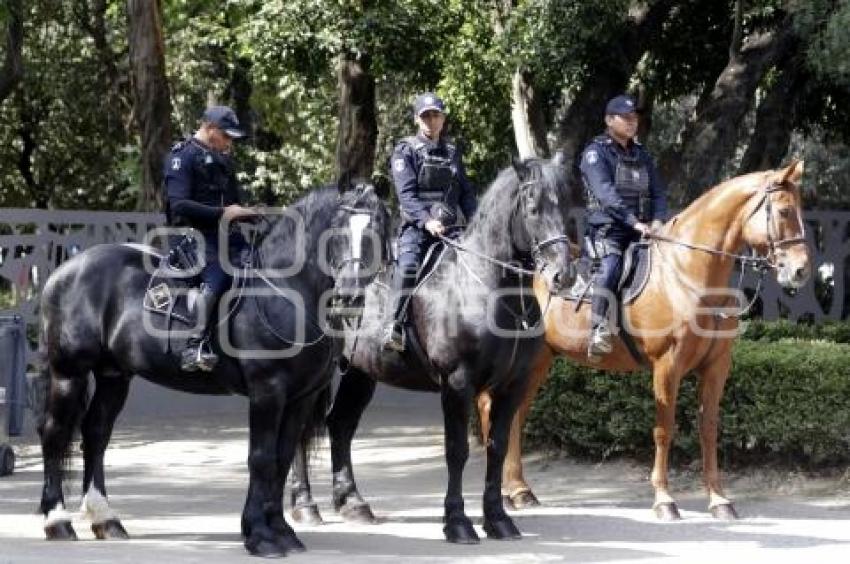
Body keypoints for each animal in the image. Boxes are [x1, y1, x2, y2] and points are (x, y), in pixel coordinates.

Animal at [36, 184, 388, 556]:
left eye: (377, 231)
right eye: (337, 234)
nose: (349, 296)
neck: (286, 291)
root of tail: (65, 270)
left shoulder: (300, 398)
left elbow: (281, 457)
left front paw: (281, 530)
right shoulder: (267, 390)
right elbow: (261, 458)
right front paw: (259, 535)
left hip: (113, 376)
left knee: (96, 433)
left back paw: (106, 519)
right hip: (68, 372)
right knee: (55, 433)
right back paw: (56, 520)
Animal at [288, 156, 572, 544]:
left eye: (567, 205)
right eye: (533, 208)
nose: (564, 275)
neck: (483, 289)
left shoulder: (511, 386)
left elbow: (497, 448)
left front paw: (497, 519)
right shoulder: (457, 383)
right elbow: (457, 451)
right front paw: (457, 522)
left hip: (361, 371)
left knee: (340, 423)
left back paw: (353, 503)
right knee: (301, 427)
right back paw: (305, 505)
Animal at [476, 160, 808, 520]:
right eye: (784, 211)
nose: (801, 270)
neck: (688, 275)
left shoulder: (716, 367)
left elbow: (708, 429)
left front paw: (719, 499)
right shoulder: (667, 365)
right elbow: (664, 430)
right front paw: (664, 499)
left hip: (540, 362)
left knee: (515, 415)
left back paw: (519, 490)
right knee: (493, 409)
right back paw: (506, 493)